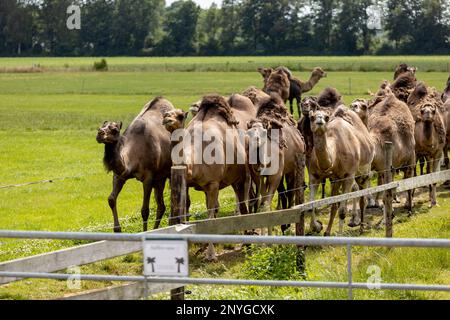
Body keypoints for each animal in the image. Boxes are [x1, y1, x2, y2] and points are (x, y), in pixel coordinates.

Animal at [96, 97, 173, 232]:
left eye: (115, 130)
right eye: (102, 126)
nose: (100, 133)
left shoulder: (148, 177)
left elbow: (145, 210)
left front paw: (145, 232)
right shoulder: (120, 175)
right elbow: (111, 199)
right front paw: (117, 229)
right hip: (160, 178)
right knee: (161, 206)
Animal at [308, 105, 374, 235]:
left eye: (326, 117)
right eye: (311, 117)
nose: (319, 120)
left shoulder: (349, 175)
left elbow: (342, 211)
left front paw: (339, 234)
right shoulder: (315, 176)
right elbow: (312, 206)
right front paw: (318, 227)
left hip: (364, 172)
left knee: (362, 197)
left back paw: (361, 228)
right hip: (338, 180)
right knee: (336, 204)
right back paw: (328, 232)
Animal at [350, 84, 416, 212]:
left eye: (364, 105)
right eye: (352, 103)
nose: (353, 106)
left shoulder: (391, 165)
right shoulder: (375, 166)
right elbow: (377, 184)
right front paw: (375, 203)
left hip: (409, 157)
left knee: (408, 178)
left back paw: (406, 203)